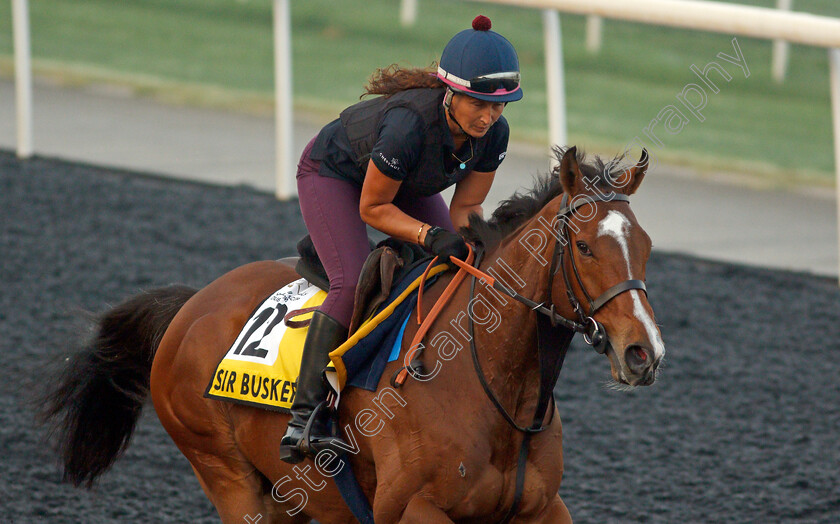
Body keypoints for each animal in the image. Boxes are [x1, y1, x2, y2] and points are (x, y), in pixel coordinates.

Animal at [42, 147, 664, 524]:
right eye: (583, 246)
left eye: (647, 244)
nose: (644, 352)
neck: (490, 387)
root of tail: (190, 305)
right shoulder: (414, 508)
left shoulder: (542, 508)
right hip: (229, 477)